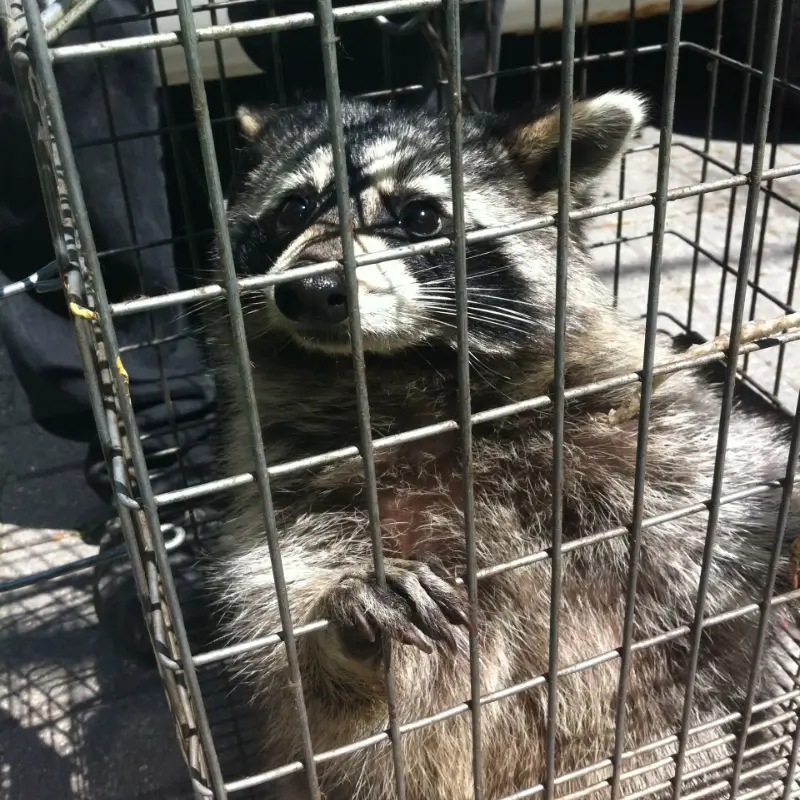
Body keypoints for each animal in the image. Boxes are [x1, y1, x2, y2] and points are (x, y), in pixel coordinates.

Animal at [208, 92, 800, 800]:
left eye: (421, 217)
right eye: (294, 208)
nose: (310, 290)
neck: (404, 381)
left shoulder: (634, 428)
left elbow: (738, 494)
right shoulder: (294, 498)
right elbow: (322, 702)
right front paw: (343, 618)